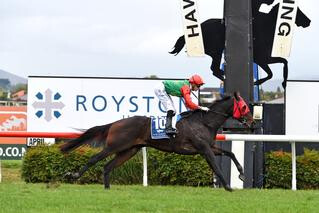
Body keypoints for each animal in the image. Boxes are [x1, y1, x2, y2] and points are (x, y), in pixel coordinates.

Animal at [60, 92, 255, 192]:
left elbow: (230, 153)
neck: (204, 122)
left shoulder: (211, 147)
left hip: (129, 150)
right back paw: (74, 175)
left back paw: (107, 188)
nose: (252, 121)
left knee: (108, 166)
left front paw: (241, 174)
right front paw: (228, 186)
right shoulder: (204, 149)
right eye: (244, 106)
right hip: (115, 146)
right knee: (94, 159)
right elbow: (216, 166)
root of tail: (115, 123)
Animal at [171, 0, 312, 88]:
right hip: (217, 51)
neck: (268, 27)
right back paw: (225, 79)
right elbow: (274, 70)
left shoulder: (263, 59)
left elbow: (282, 63)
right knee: (214, 69)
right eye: (297, 11)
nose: (308, 21)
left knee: (214, 69)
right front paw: (260, 82)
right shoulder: (261, 59)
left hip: (215, 53)